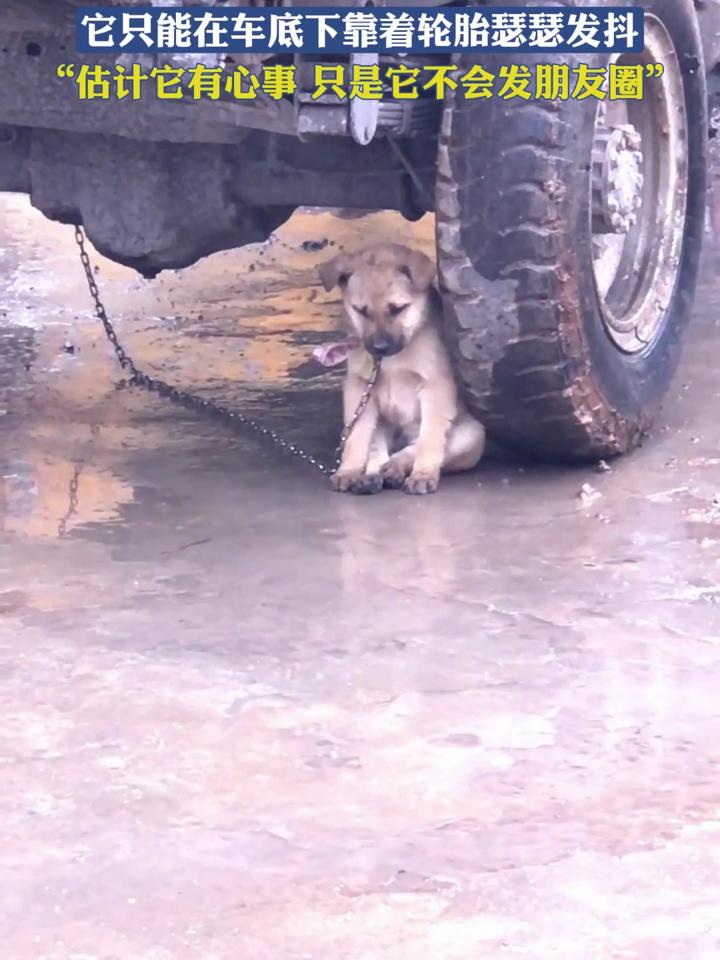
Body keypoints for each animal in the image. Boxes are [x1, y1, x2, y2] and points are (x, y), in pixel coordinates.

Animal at [320, 242, 484, 496]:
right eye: (361, 311)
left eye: (398, 308)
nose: (379, 347)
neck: (391, 361)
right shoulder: (359, 388)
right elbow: (356, 437)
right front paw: (349, 470)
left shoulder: (435, 386)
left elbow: (429, 440)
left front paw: (423, 474)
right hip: (380, 422)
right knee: (378, 449)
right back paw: (372, 475)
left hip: (471, 436)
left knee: (416, 448)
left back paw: (396, 468)